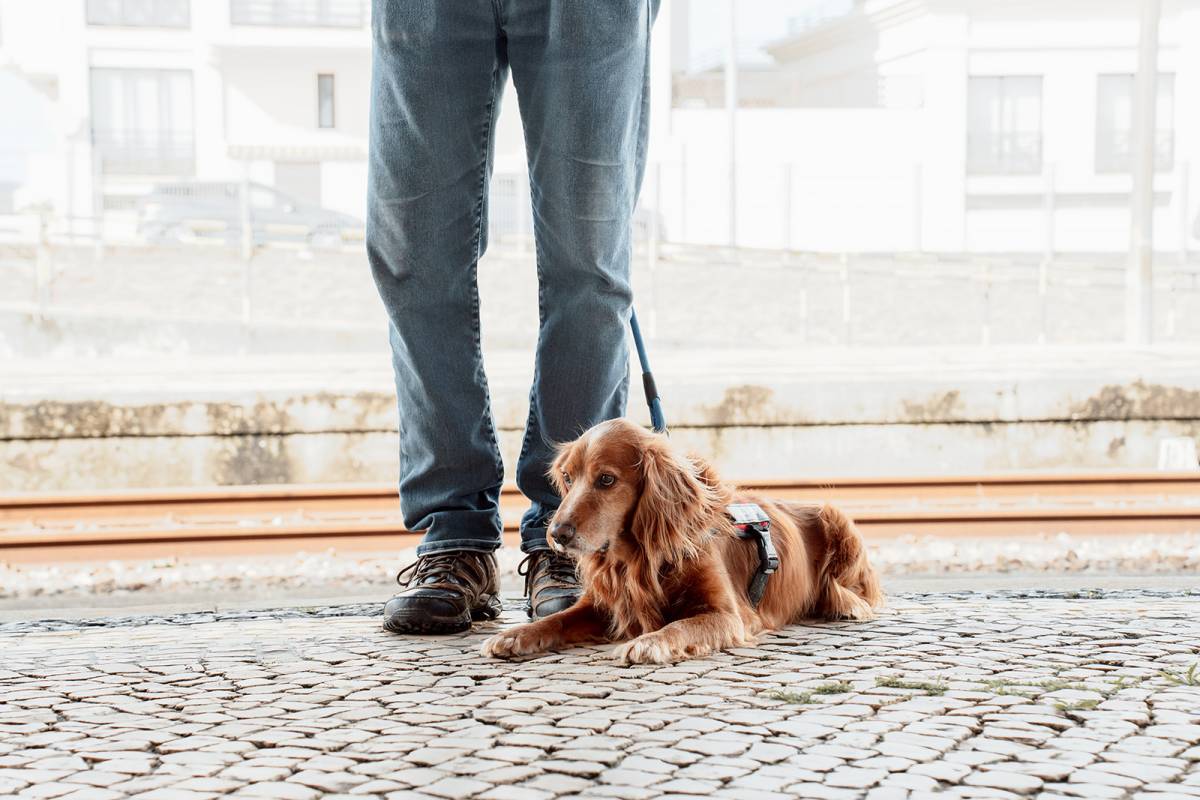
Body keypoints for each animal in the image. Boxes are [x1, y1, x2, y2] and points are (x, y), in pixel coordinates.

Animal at [477, 417, 883, 666]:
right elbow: (557, 619)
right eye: (567, 476)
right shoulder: (602, 605)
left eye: (606, 479)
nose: (557, 534)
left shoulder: (727, 614)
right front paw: (516, 634)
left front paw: (648, 642)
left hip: (837, 517)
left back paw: (846, 604)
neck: (640, 558)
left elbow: (679, 626)